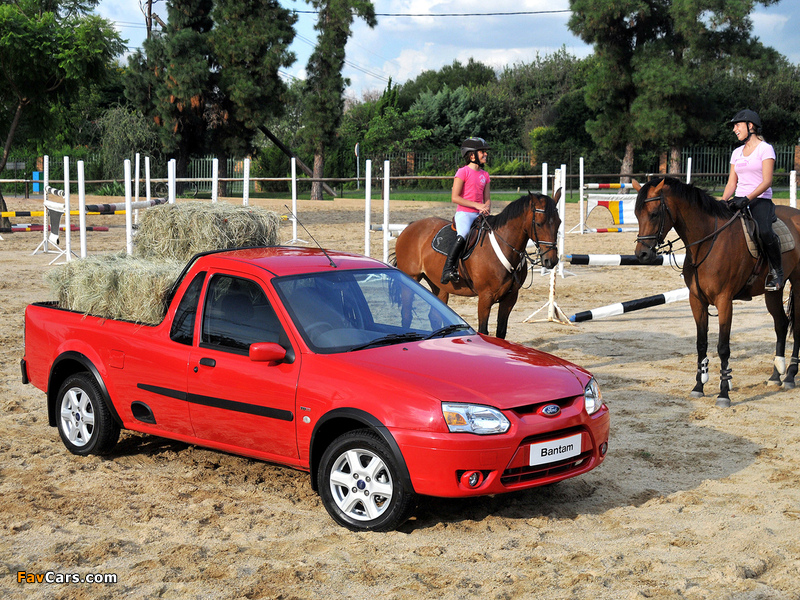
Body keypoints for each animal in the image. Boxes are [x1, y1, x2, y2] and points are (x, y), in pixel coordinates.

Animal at [393, 190, 561, 339]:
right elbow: (483, 330)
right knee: (406, 315)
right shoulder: (485, 296)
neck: (505, 246)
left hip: (438, 286)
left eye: (559, 223)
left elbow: (501, 332)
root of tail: (410, 226)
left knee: (435, 315)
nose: (551, 260)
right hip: (411, 278)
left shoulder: (510, 297)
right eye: (538, 224)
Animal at [632, 176, 800, 407]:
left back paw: (791, 375)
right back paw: (776, 376)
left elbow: (723, 347)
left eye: (654, 213)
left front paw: (723, 394)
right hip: (773, 291)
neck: (706, 242)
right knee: (781, 324)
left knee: (797, 326)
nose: (642, 254)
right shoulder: (697, 300)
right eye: (636, 214)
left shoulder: (724, 300)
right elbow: (701, 343)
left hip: (798, 284)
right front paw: (698, 387)